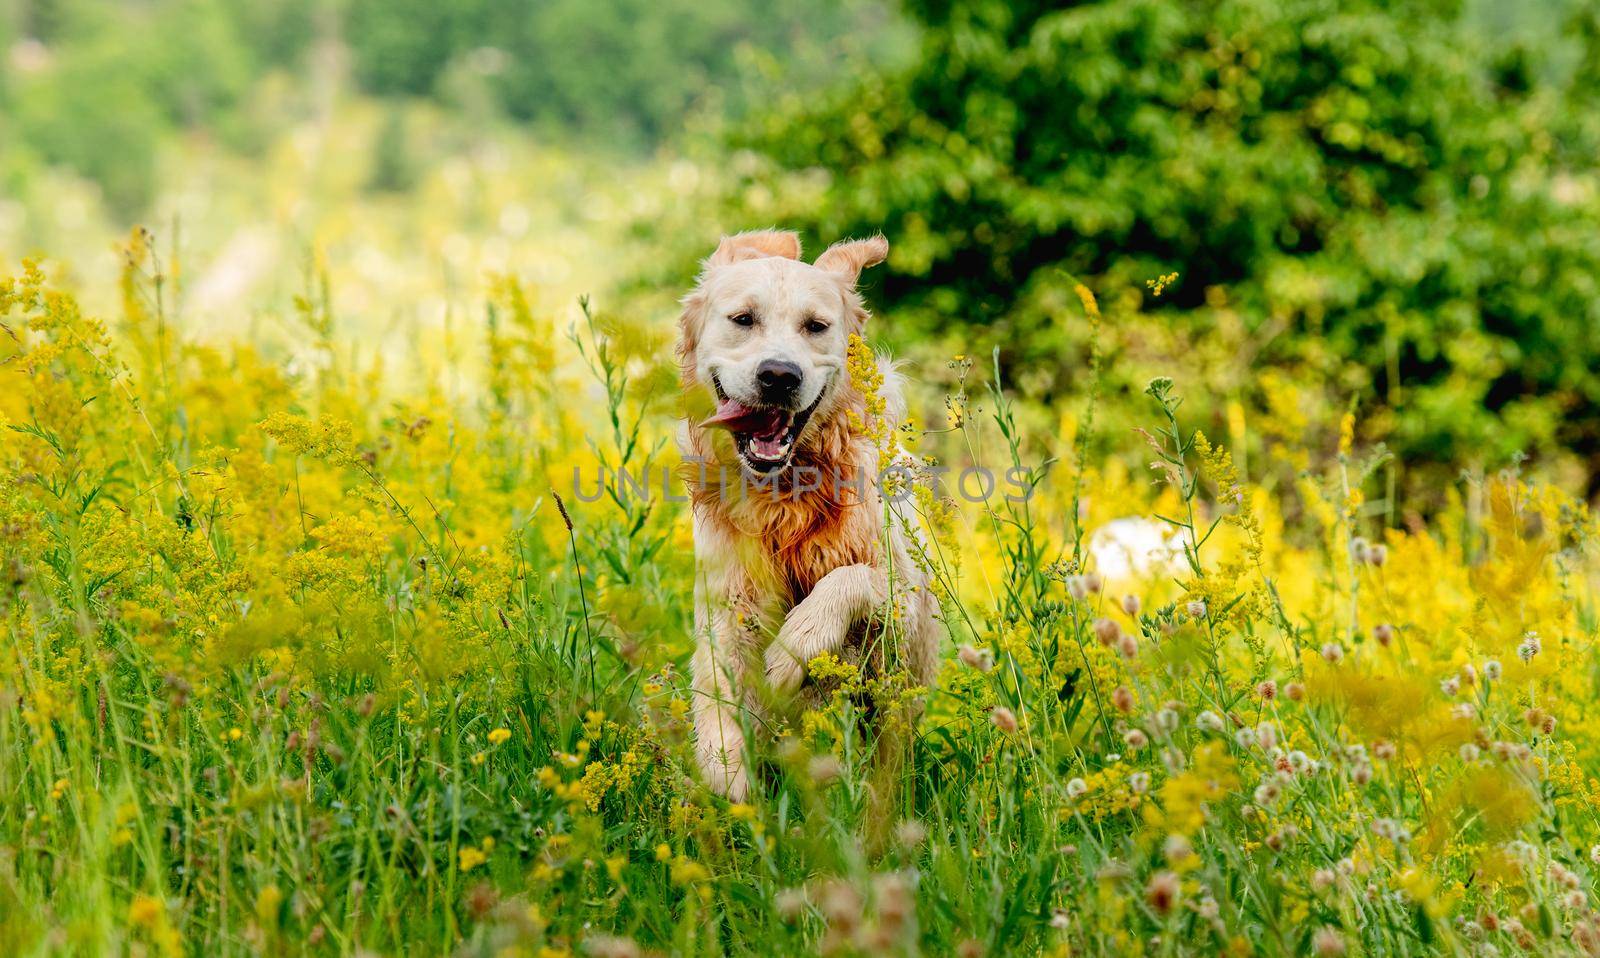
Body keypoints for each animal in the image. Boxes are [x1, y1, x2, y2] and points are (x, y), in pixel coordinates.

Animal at [672, 227, 934, 802]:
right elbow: (721, 701)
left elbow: (850, 578)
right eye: (743, 318)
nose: (778, 375)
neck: (787, 499)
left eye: (815, 326)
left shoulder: (907, 609)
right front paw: (731, 789)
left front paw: (791, 651)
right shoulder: (728, 605)